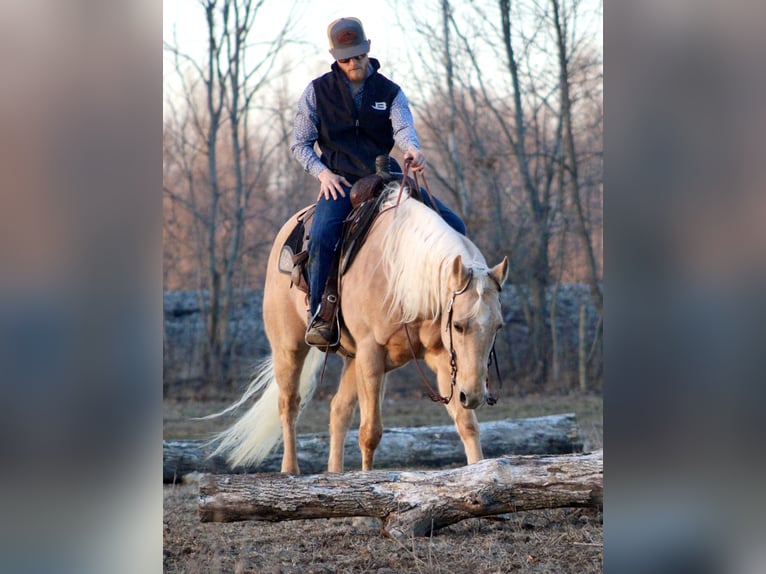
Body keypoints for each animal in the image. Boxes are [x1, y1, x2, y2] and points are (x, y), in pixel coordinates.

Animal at [209, 182, 508, 474]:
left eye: (498, 327)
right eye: (457, 325)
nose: (475, 395)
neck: (400, 273)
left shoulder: (444, 358)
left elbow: (467, 424)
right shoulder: (371, 354)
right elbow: (370, 433)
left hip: (353, 360)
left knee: (338, 410)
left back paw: (335, 474)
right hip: (289, 348)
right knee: (289, 404)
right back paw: (290, 470)